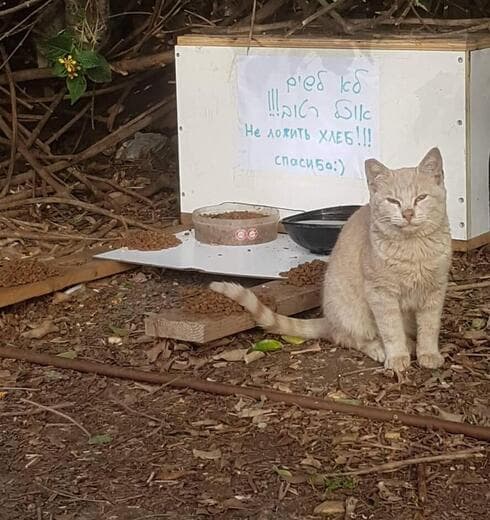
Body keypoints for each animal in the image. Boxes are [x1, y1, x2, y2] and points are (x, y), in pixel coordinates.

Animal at [211, 148, 452, 372]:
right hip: (353, 313)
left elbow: (430, 327)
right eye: (393, 201)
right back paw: (379, 348)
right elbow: (391, 329)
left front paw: (429, 354)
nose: (408, 213)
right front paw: (397, 357)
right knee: (349, 338)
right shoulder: (381, 294)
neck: (413, 250)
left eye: (421, 198)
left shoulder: (436, 290)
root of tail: (329, 319)